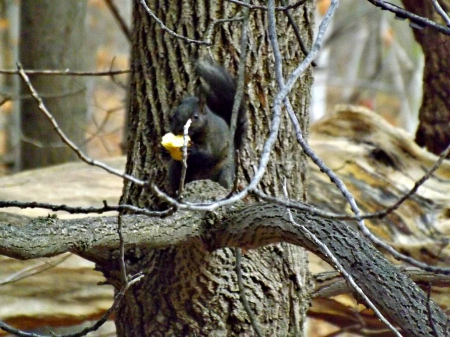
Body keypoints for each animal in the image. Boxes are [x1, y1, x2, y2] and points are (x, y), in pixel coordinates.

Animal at [168, 59, 248, 192]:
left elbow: (208, 153)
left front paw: (192, 149)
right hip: (175, 170)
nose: (178, 129)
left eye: (195, 117)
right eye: (174, 115)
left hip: (224, 170)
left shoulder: (214, 138)